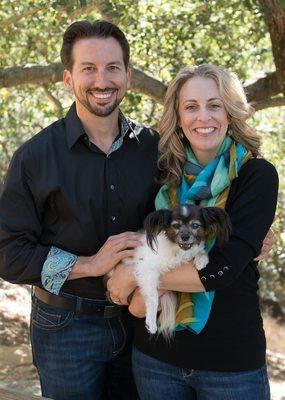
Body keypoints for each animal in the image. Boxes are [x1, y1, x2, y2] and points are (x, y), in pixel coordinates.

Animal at [132, 205, 230, 340]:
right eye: (176, 225)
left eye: (195, 225)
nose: (185, 237)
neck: (178, 251)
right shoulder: (146, 268)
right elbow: (153, 296)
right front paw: (151, 322)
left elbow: (200, 251)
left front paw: (201, 261)